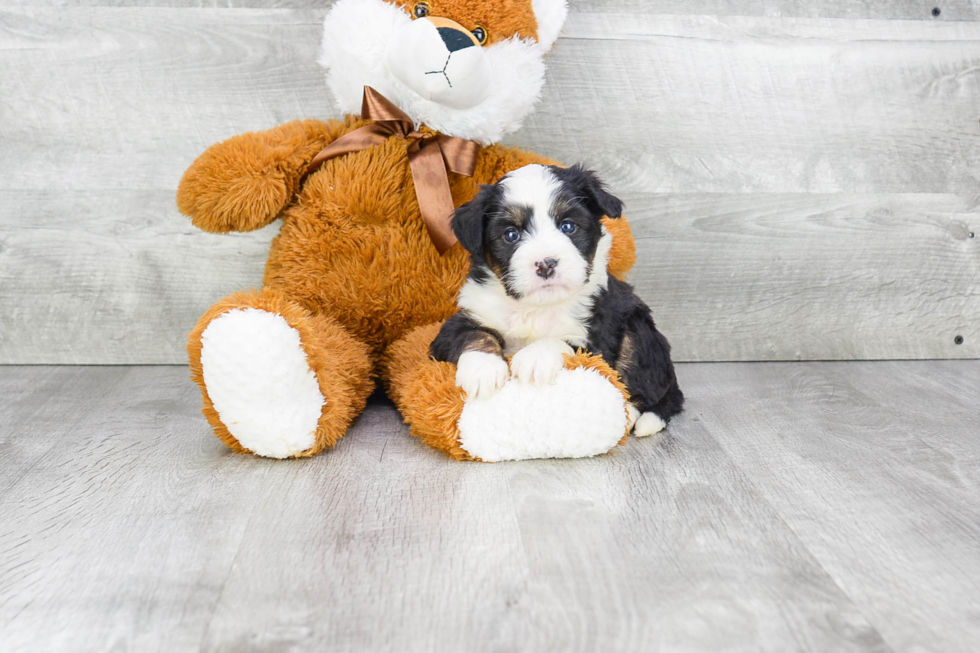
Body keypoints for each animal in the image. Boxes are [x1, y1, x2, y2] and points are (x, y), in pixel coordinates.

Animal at [428, 164, 680, 438]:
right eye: (511, 234)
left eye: (568, 226)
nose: (545, 264)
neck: (535, 307)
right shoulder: (463, 318)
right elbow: (474, 334)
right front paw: (483, 370)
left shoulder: (599, 333)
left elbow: (563, 341)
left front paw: (534, 359)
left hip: (638, 330)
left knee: (645, 390)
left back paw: (629, 416)